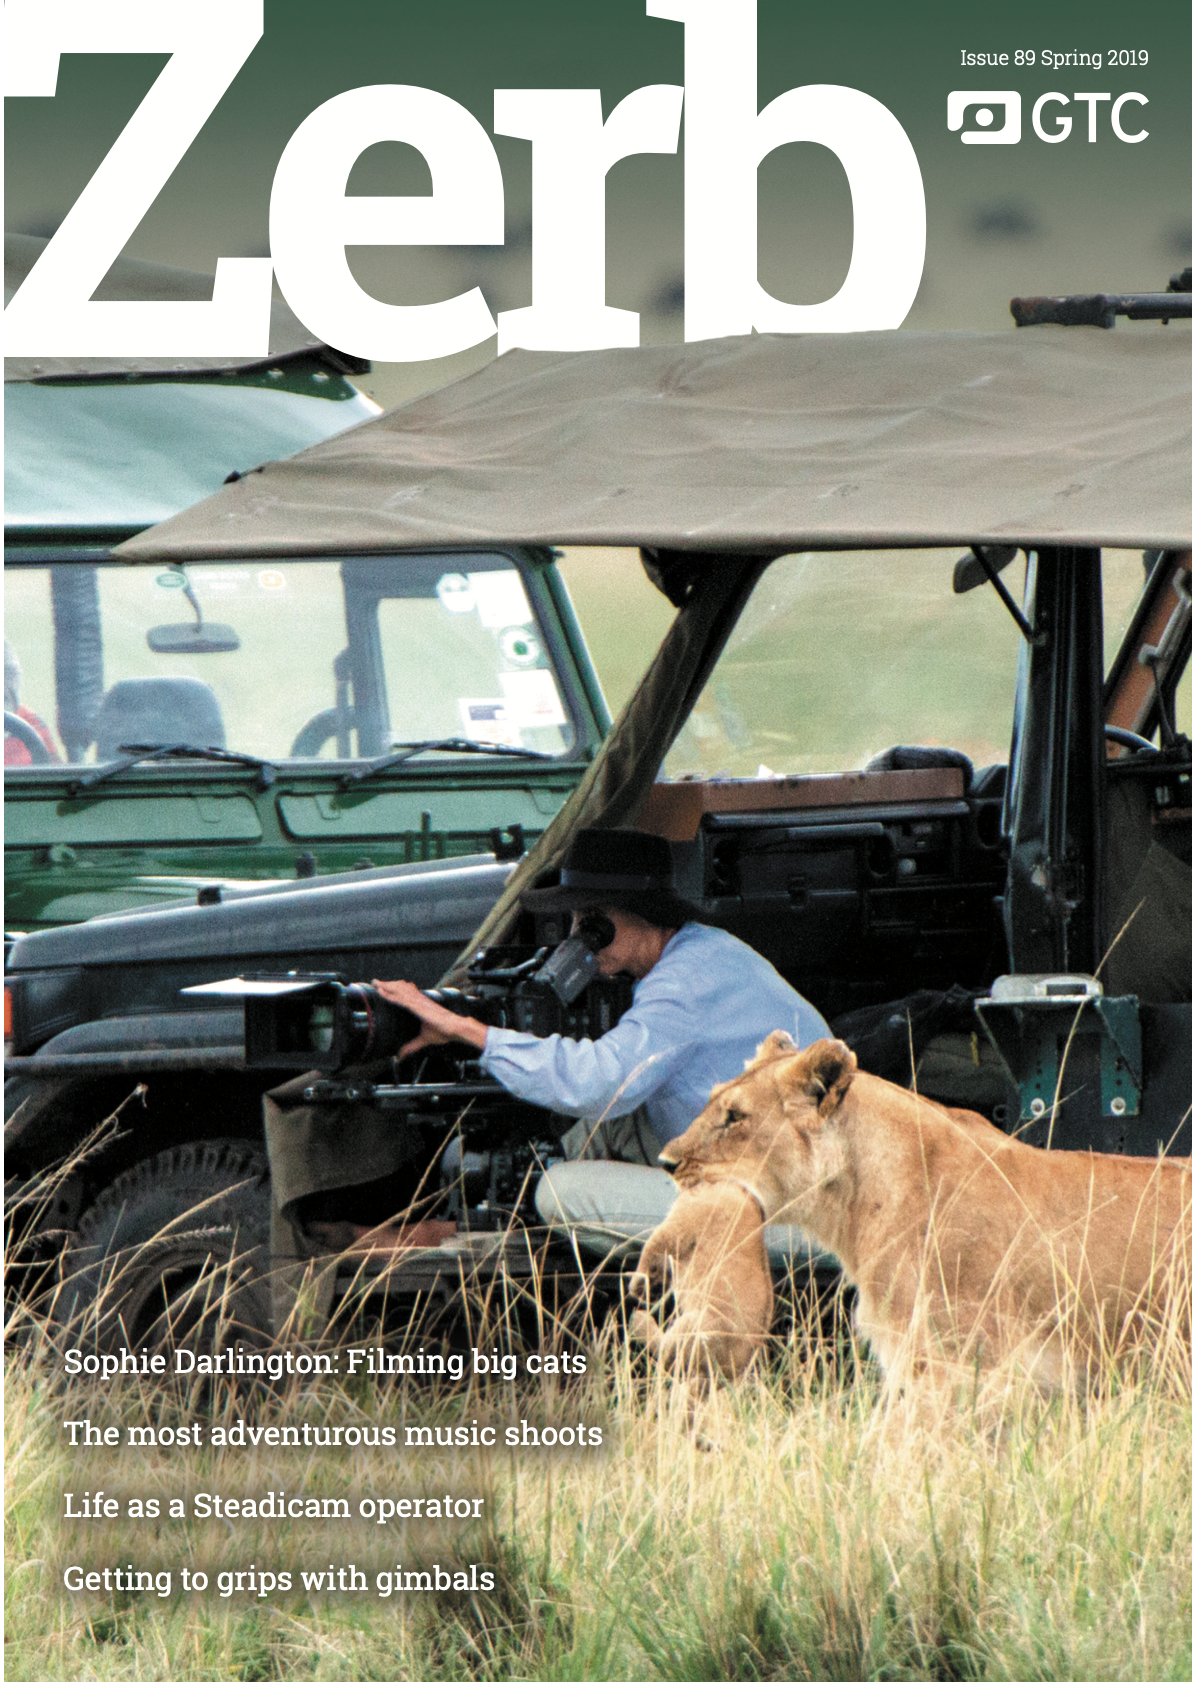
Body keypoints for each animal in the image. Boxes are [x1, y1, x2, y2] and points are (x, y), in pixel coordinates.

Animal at [627, 1175, 774, 1384]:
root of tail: (732, 1371)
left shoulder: (680, 1223)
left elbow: (652, 1248)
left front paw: (638, 1287)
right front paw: (652, 1290)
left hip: (693, 1325)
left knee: (664, 1353)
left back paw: (639, 1321)